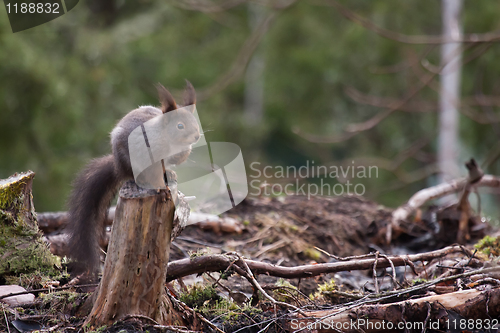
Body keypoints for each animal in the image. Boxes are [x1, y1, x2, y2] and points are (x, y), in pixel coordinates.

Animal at [66, 81, 201, 272]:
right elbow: (155, 172)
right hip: (128, 162)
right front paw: (162, 188)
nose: (196, 136)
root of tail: (117, 168)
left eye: (195, 122)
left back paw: (170, 173)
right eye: (180, 126)